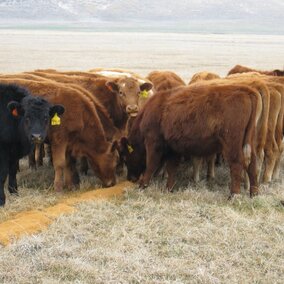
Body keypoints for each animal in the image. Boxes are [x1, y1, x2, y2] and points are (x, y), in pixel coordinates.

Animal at [121, 82, 260, 197]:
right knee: (252, 163)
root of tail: (246, 90)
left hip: (232, 144)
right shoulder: (173, 148)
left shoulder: (153, 142)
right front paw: (169, 188)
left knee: (236, 163)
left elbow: (151, 164)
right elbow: (171, 168)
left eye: (126, 158)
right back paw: (254, 194)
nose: (130, 178)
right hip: (248, 142)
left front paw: (142, 186)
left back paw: (233, 195)